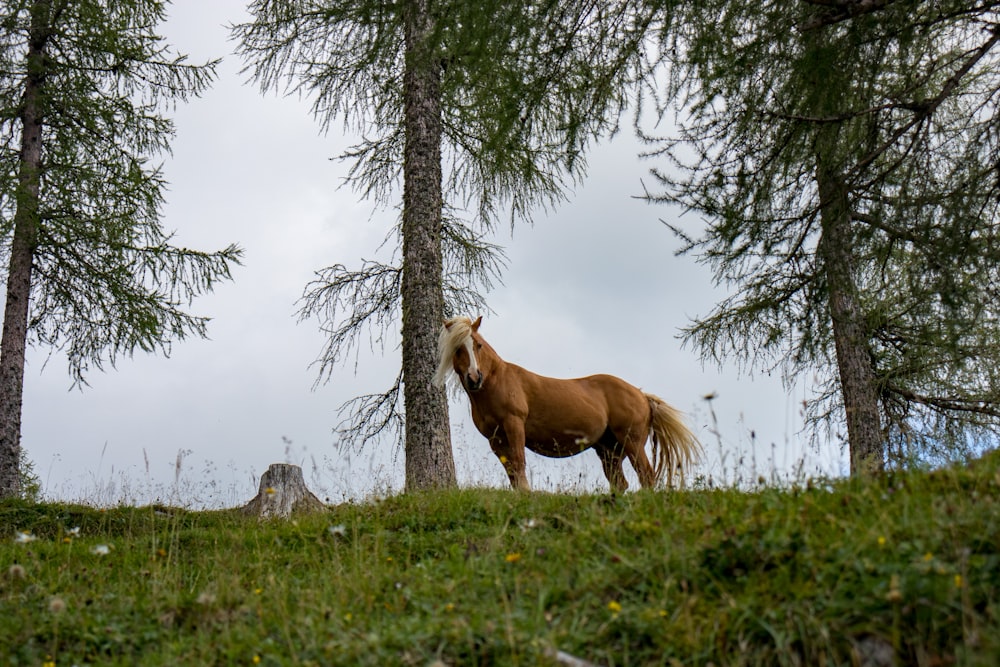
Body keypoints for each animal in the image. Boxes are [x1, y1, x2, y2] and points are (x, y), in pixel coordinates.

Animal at [434, 316, 700, 494]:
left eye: (477, 344)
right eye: (458, 349)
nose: (474, 378)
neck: (498, 382)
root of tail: (642, 395)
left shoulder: (514, 425)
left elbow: (519, 462)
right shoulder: (494, 438)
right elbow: (510, 470)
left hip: (631, 442)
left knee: (646, 476)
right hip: (609, 450)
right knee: (620, 482)